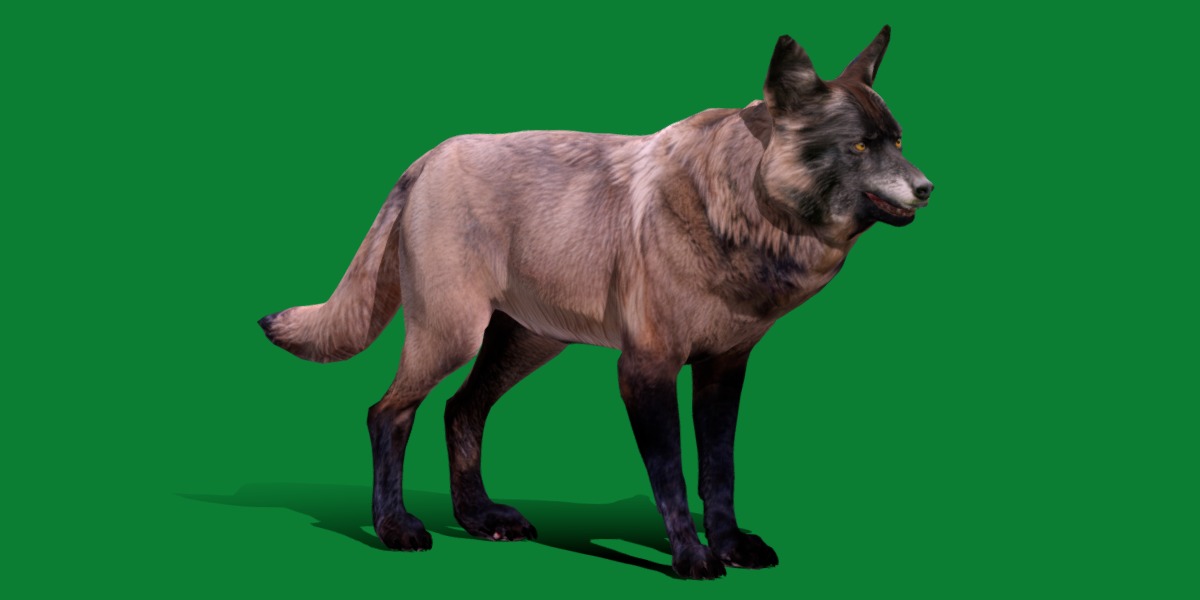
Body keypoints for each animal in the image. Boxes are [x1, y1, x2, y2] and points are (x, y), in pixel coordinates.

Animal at [259, 26, 932, 579]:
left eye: (897, 141)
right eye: (860, 147)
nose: (928, 188)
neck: (735, 212)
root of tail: (426, 159)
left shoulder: (723, 370)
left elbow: (720, 472)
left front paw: (731, 546)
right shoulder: (644, 371)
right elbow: (671, 475)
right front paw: (691, 559)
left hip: (525, 345)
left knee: (461, 411)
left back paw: (481, 519)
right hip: (453, 337)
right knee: (388, 413)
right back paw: (396, 528)